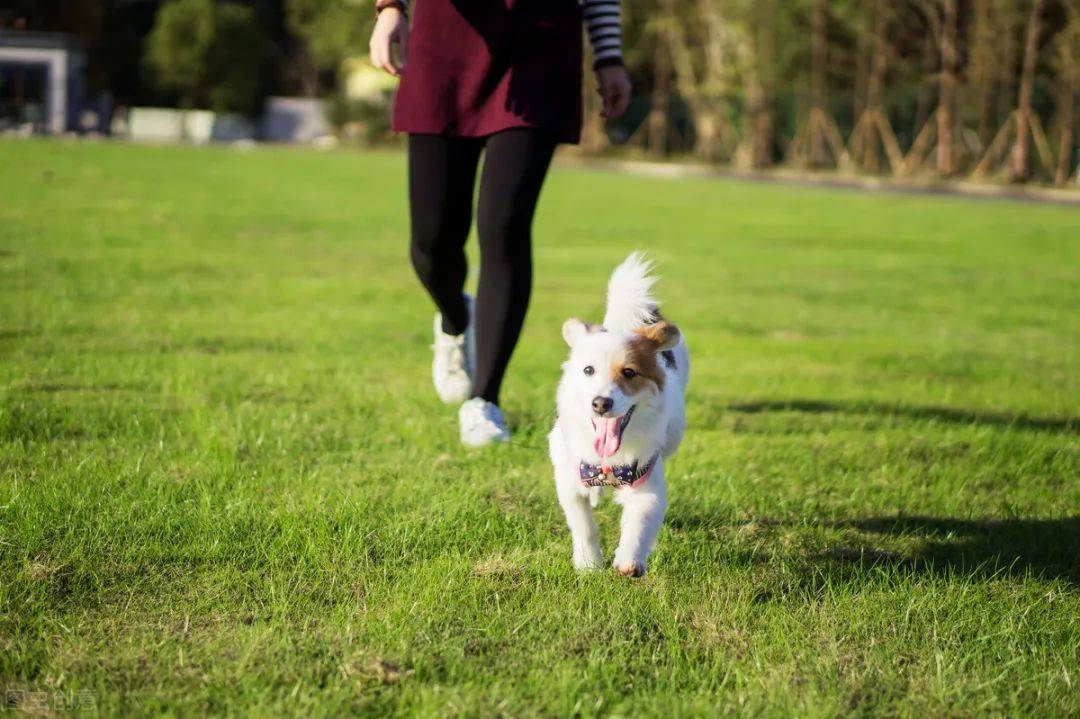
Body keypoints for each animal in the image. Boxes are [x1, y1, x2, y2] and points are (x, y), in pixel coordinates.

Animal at [548, 251, 691, 578]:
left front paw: (629, 561)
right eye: (588, 370)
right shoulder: (569, 477)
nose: (601, 403)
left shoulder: (646, 480)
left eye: (629, 372)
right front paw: (589, 563)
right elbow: (583, 524)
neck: (608, 464)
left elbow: (639, 522)